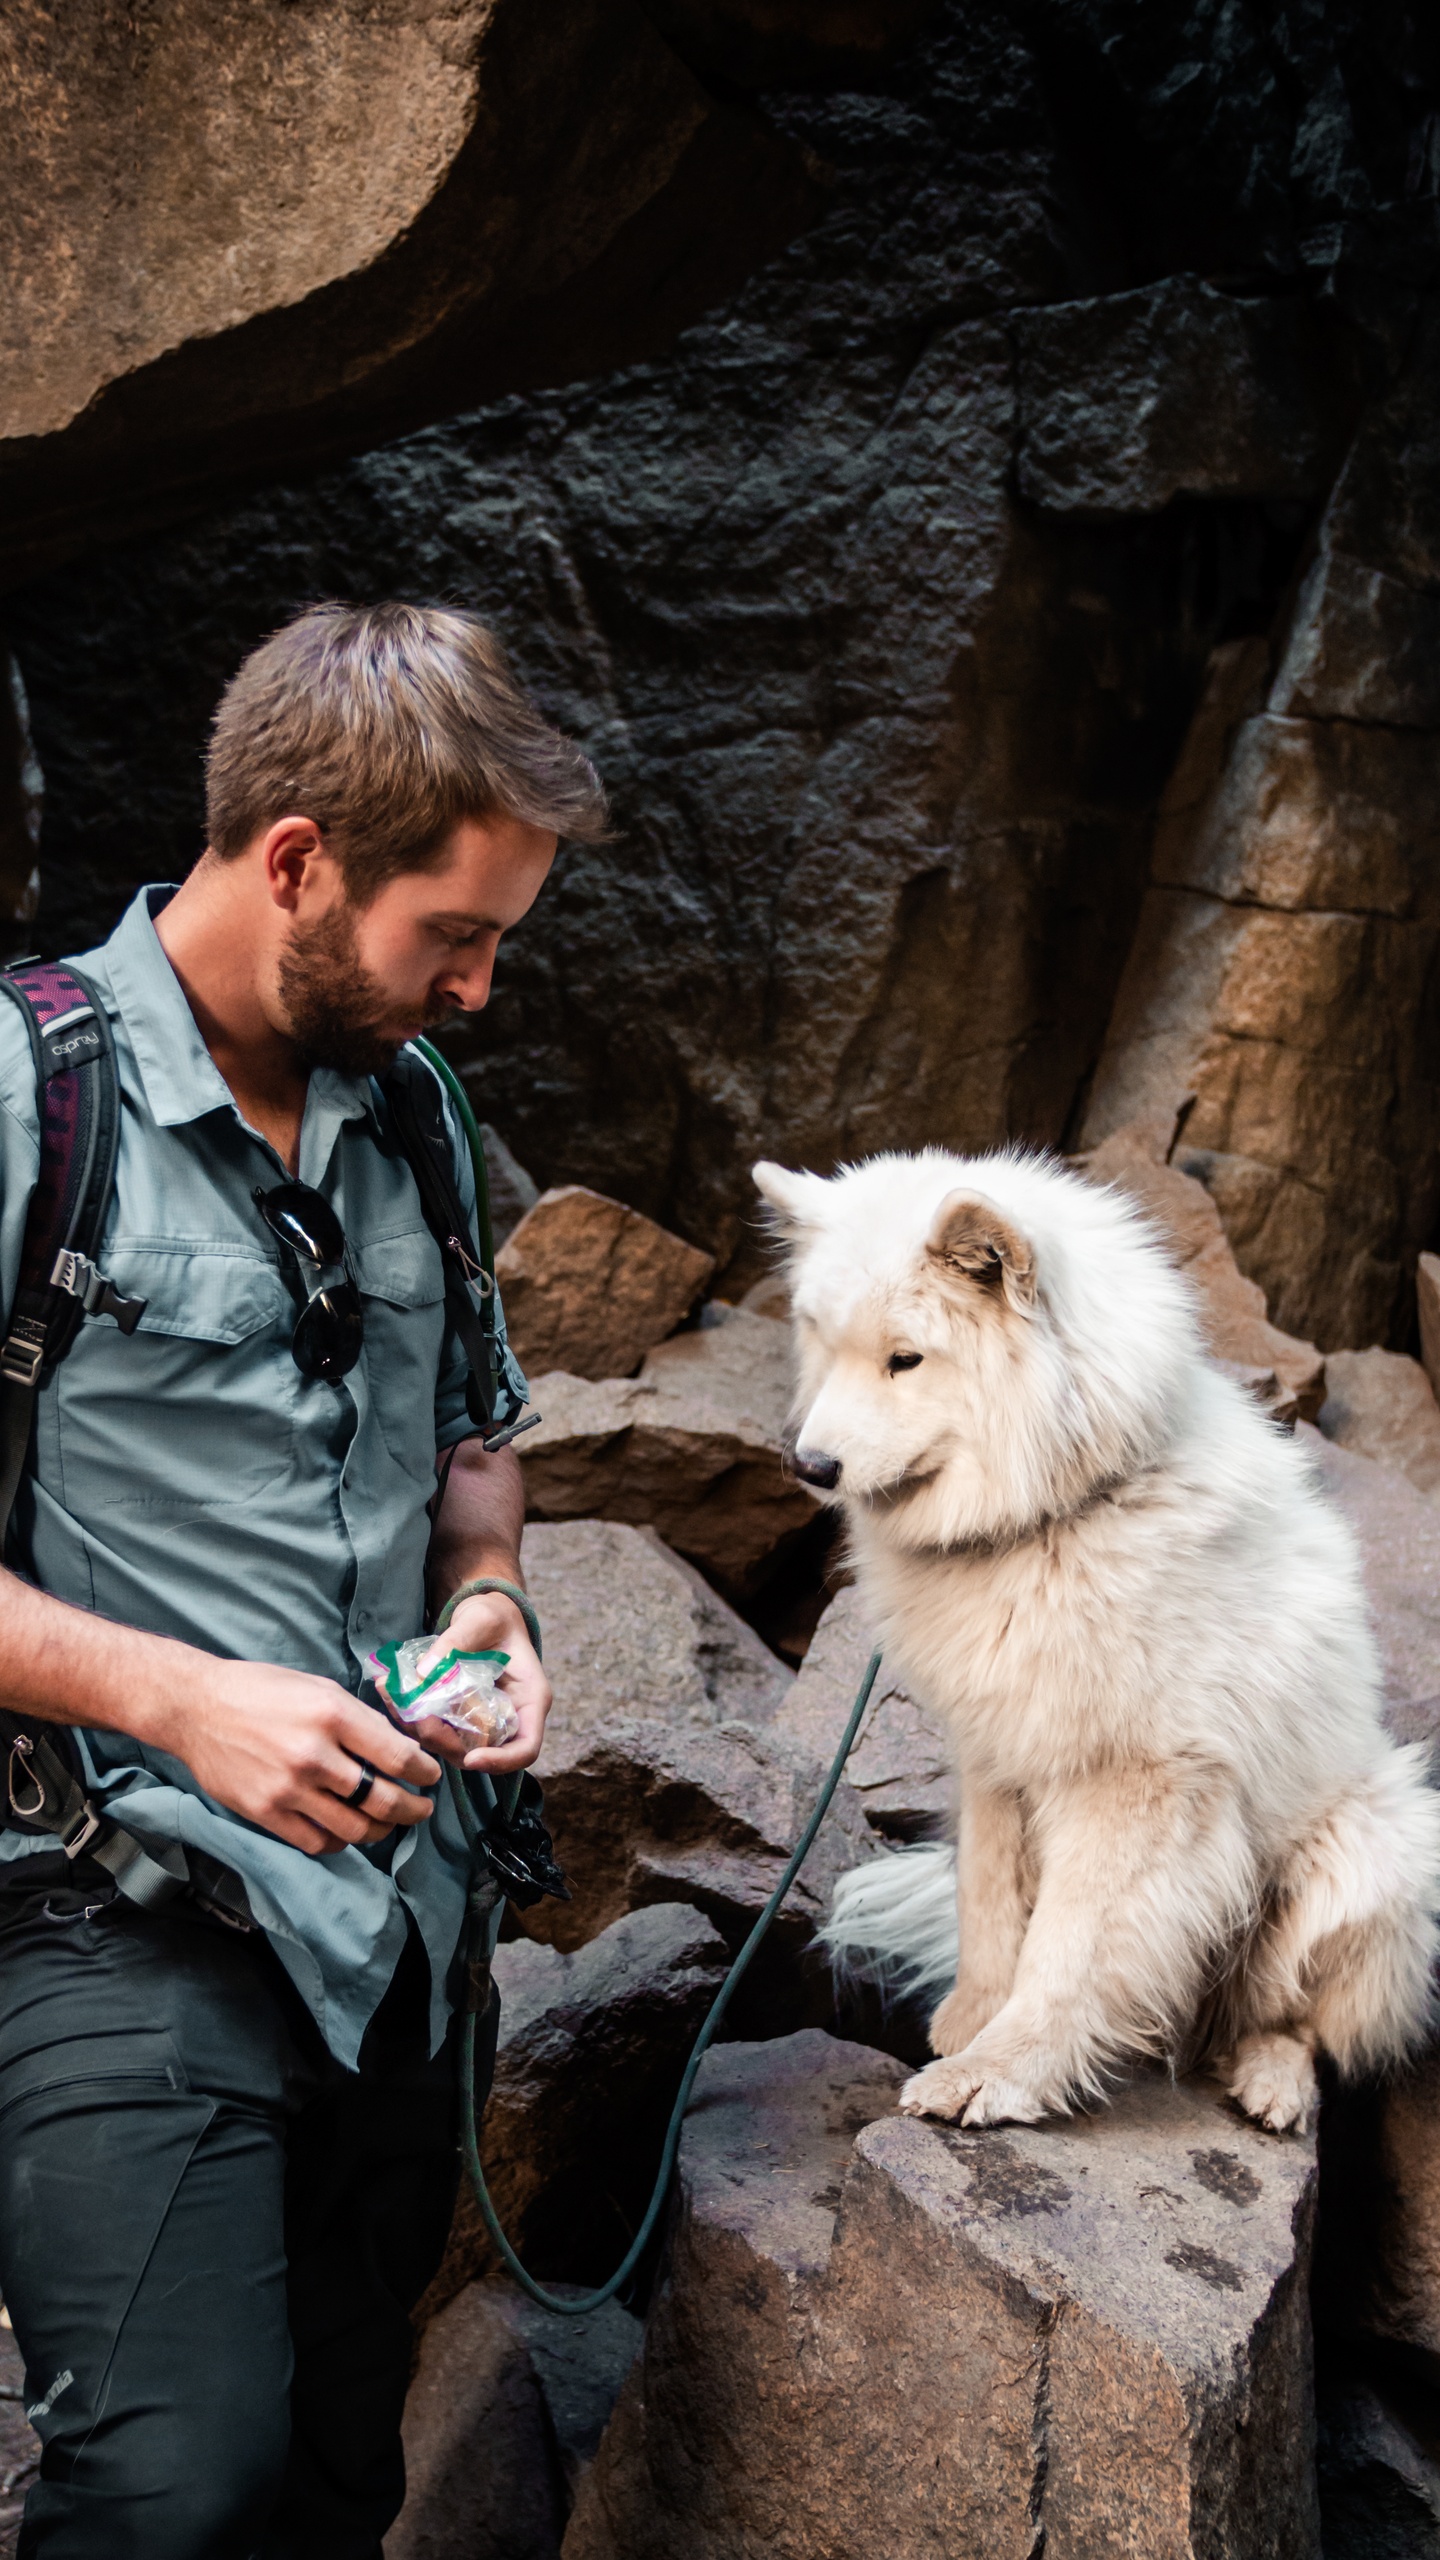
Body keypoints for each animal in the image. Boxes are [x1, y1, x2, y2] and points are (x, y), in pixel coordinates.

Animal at [753, 1152, 1434, 2129]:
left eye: (905, 1358)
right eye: (824, 1343)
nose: (809, 1466)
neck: (1055, 1516)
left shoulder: (1134, 1786)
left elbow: (1068, 1951)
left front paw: (996, 2073)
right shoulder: (998, 1757)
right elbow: (990, 1904)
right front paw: (972, 2021)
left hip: (1369, 1846)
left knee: (1289, 2014)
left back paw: (1272, 2080)